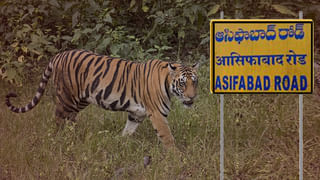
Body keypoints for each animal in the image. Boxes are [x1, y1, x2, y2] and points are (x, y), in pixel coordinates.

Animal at [6, 49, 199, 149]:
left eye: (194, 82)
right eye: (182, 83)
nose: (192, 97)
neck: (168, 83)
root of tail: (58, 55)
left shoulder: (136, 114)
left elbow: (128, 131)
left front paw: (119, 143)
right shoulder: (158, 114)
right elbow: (167, 137)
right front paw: (176, 156)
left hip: (80, 100)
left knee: (70, 119)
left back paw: (74, 137)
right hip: (66, 97)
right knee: (58, 120)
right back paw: (59, 140)